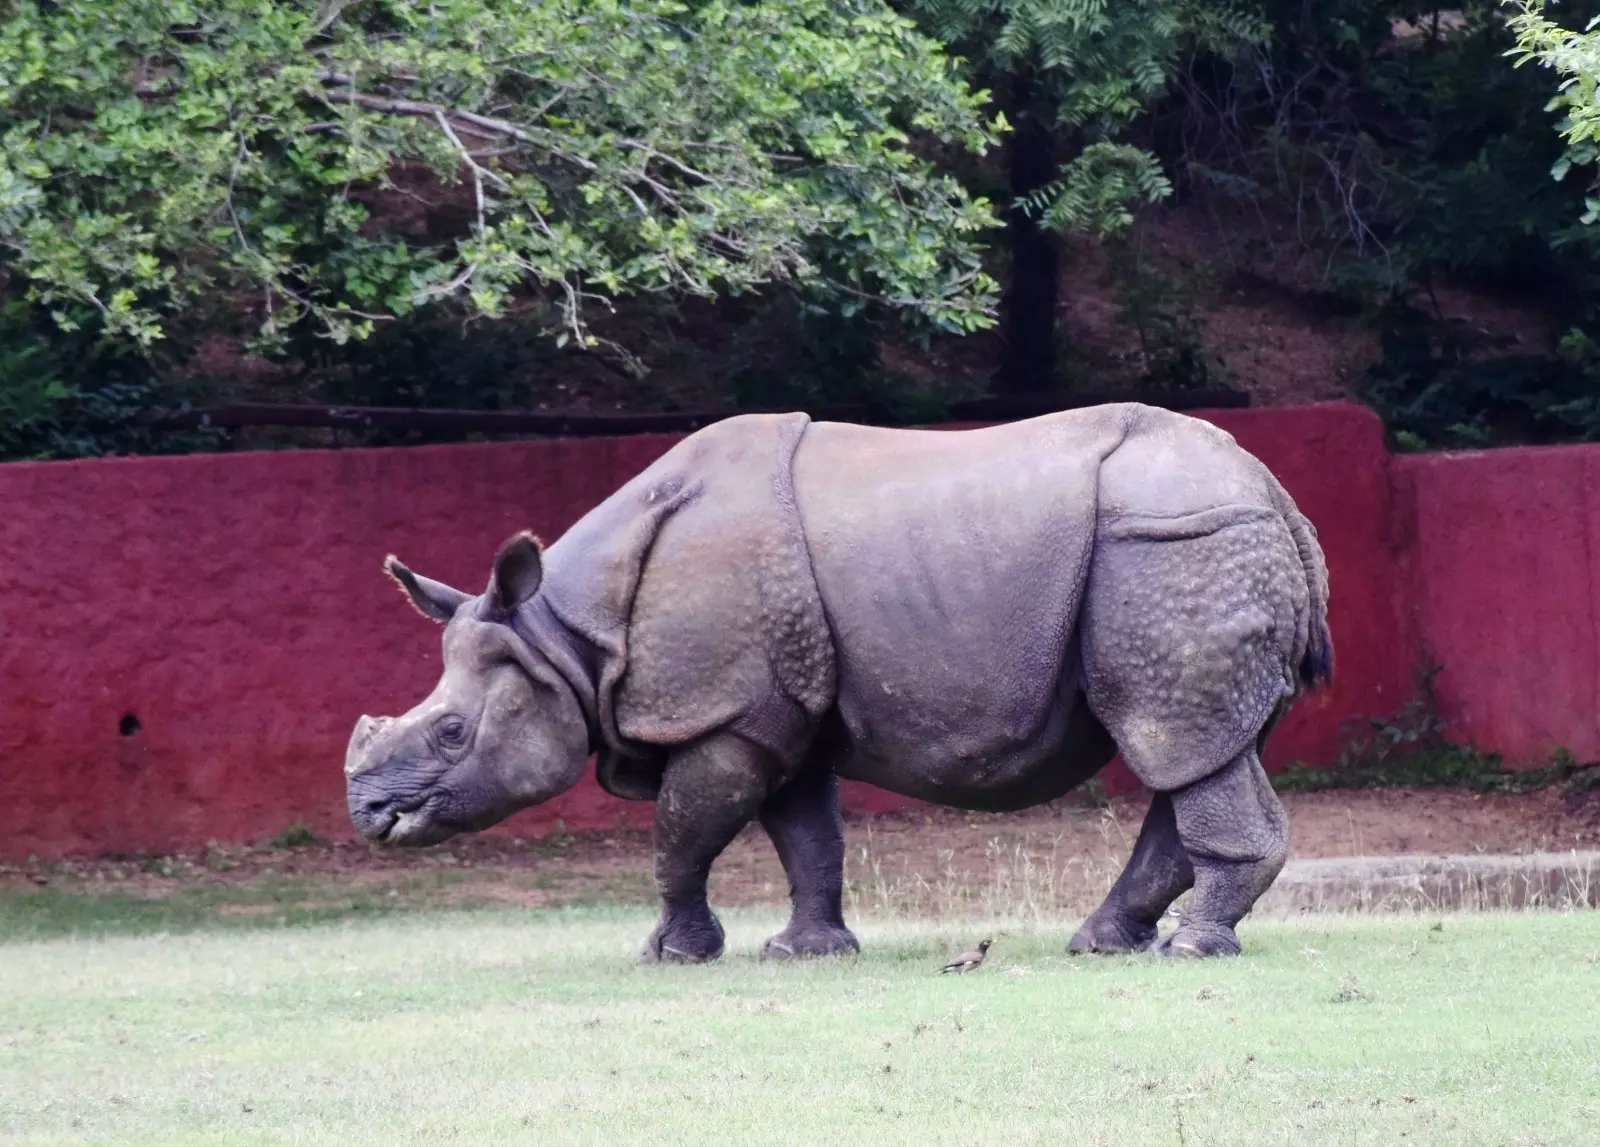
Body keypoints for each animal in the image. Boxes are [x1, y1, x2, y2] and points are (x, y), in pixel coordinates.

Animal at [345, 403, 1331, 962]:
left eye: (451, 733)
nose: (368, 814)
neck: (564, 637)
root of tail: (1279, 494)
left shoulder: (725, 713)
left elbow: (679, 837)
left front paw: (670, 954)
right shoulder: (777, 711)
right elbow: (805, 837)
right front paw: (806, 951)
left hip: (1174, 545)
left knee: (1175, 738)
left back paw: (1190, 951)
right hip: (1193, 544)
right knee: (1202, 746)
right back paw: (1105, 944)